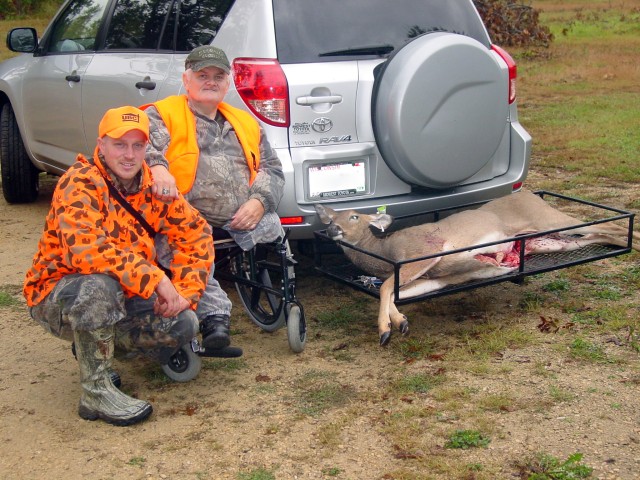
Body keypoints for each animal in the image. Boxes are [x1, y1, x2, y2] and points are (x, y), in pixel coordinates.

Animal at [316, 190, 640, 344]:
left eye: (355, 216)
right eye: (332, 218)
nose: (332, 228)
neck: (384, 251)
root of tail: (529, 194)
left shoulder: (424, 252)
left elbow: (384, 286)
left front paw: (386, 329)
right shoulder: (441, 276)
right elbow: (393, 292)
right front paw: (400, 322)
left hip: (551, 220)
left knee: (612, 224)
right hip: (551, 240)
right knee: (601, 234)